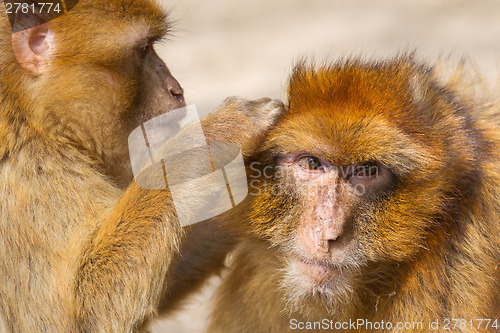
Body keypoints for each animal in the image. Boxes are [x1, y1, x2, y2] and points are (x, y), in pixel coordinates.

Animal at [0, 0, 286, 332]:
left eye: (151, 46)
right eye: (143, 49)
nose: (177, 90)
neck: (33, 115)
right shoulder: (29, 173)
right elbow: (81, 313)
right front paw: (217, 132)